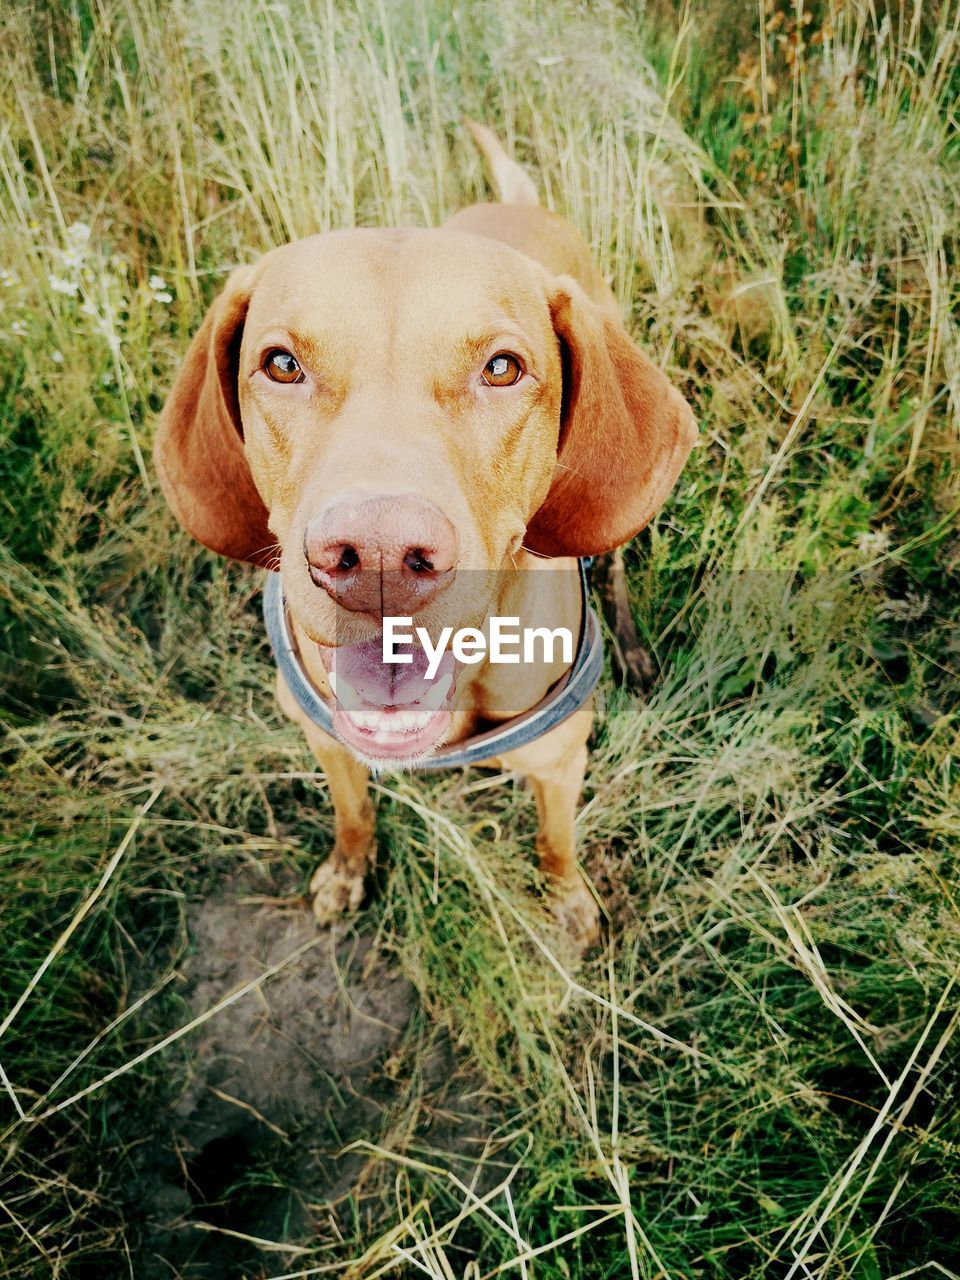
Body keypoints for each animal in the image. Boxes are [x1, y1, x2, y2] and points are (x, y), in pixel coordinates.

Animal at [156, 124, 701, 947]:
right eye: (280, 363)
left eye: (502, 368)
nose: (378, 559)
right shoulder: (326, 738)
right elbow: (352, 812)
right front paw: (349, 869)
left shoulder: (559, 762)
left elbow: (556, 840)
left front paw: (568, 900)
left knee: (613, 564)